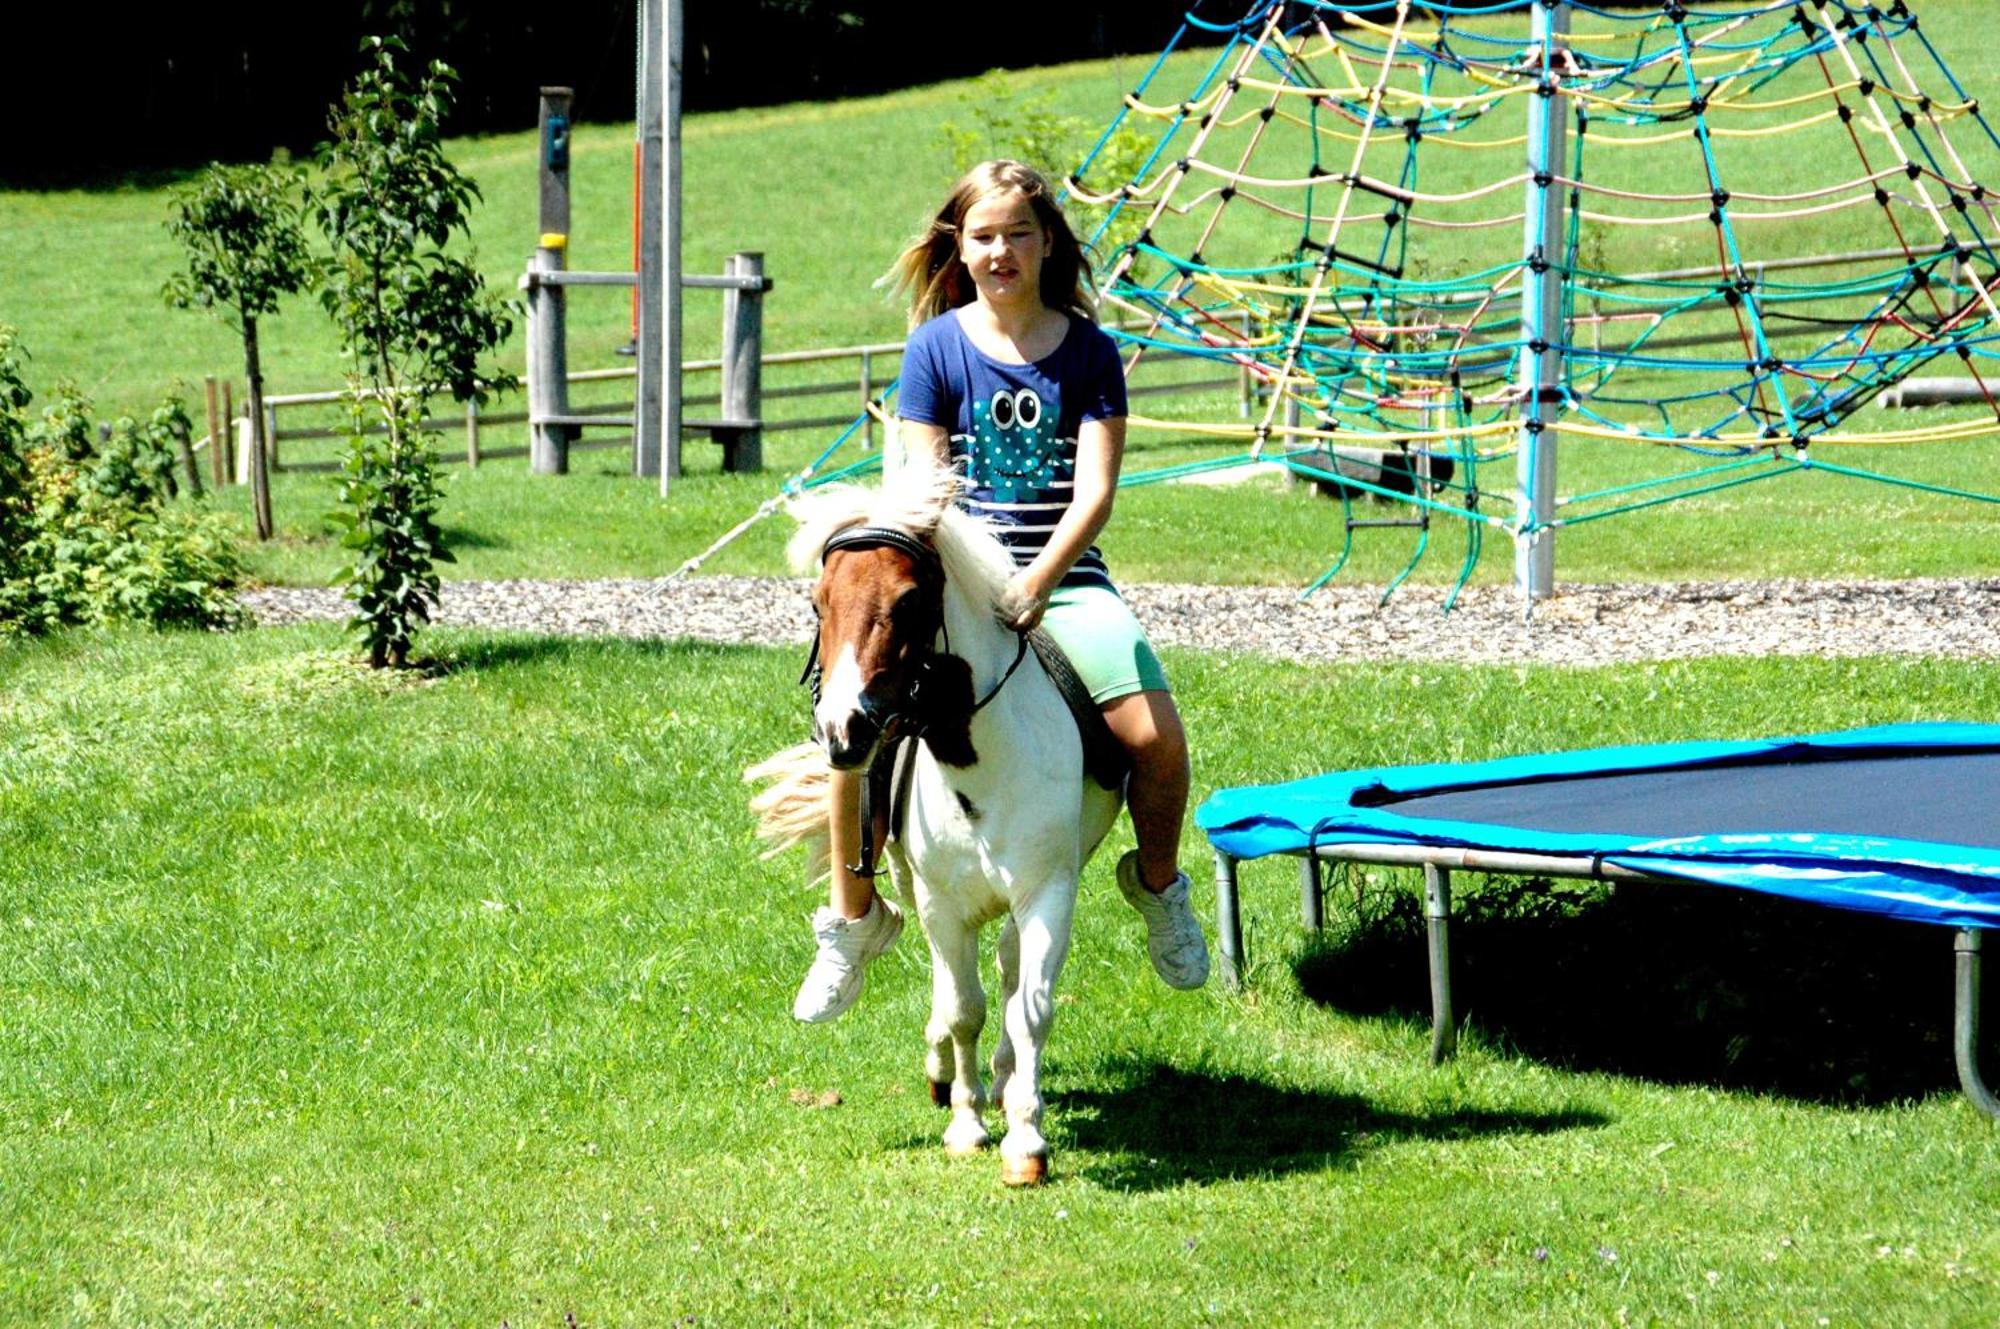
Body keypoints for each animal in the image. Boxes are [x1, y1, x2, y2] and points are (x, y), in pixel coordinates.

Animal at [752, 460, 1128, 1184]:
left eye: (907, 603)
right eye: (817, 603)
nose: (842, 731)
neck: (976, 763)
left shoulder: (1048, 891)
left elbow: (1029, 1006)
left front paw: (1025, 1140)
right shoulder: (941, 903)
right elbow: (962, 1009)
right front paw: (966, 1123)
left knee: (1009, 968)